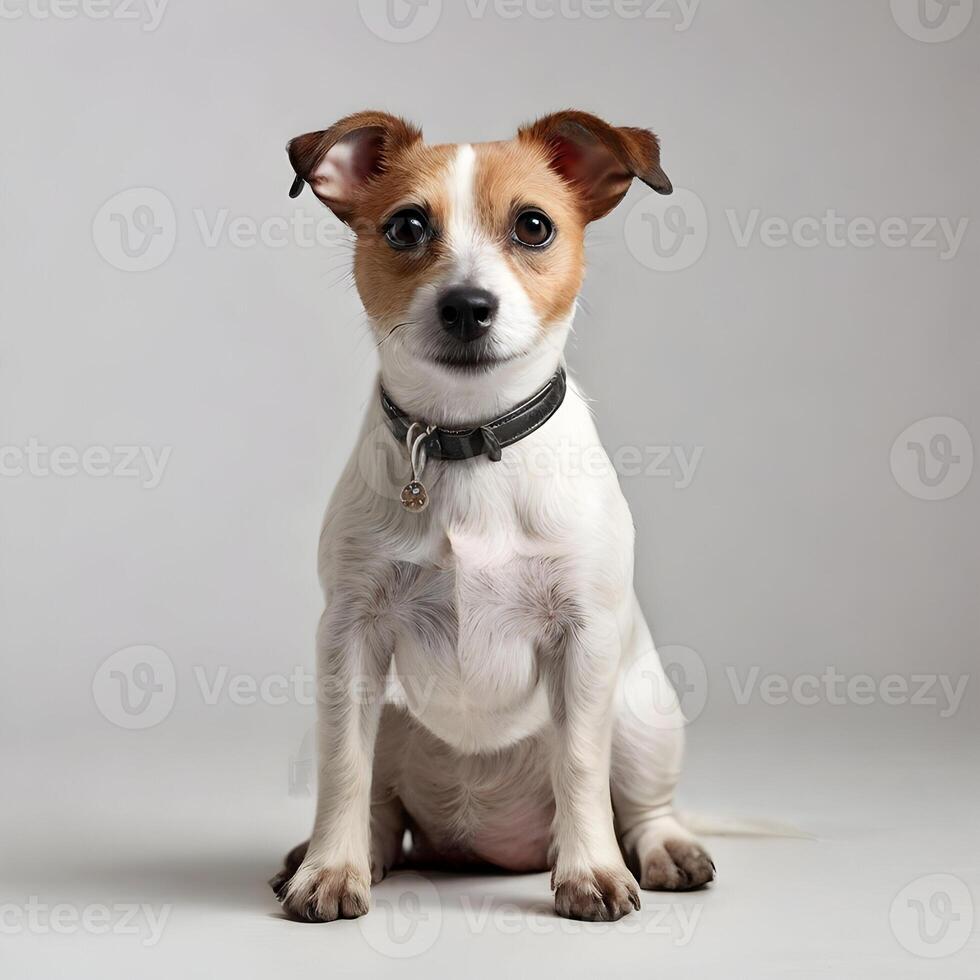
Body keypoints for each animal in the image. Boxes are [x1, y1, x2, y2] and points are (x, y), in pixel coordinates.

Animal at [272, 111, 716, 924]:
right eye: (406, 226)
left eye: (533, 226)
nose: (467, 306)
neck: (468, 440)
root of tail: (486, 846)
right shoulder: (349, 637)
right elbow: (344, 769)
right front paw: (330, 870)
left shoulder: (583, 639)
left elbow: (581, 767)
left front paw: (591, 871)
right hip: (388, 716)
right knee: (378, 803)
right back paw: (355, 852)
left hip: (641, 712)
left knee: (639, 804)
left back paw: (662, 849)